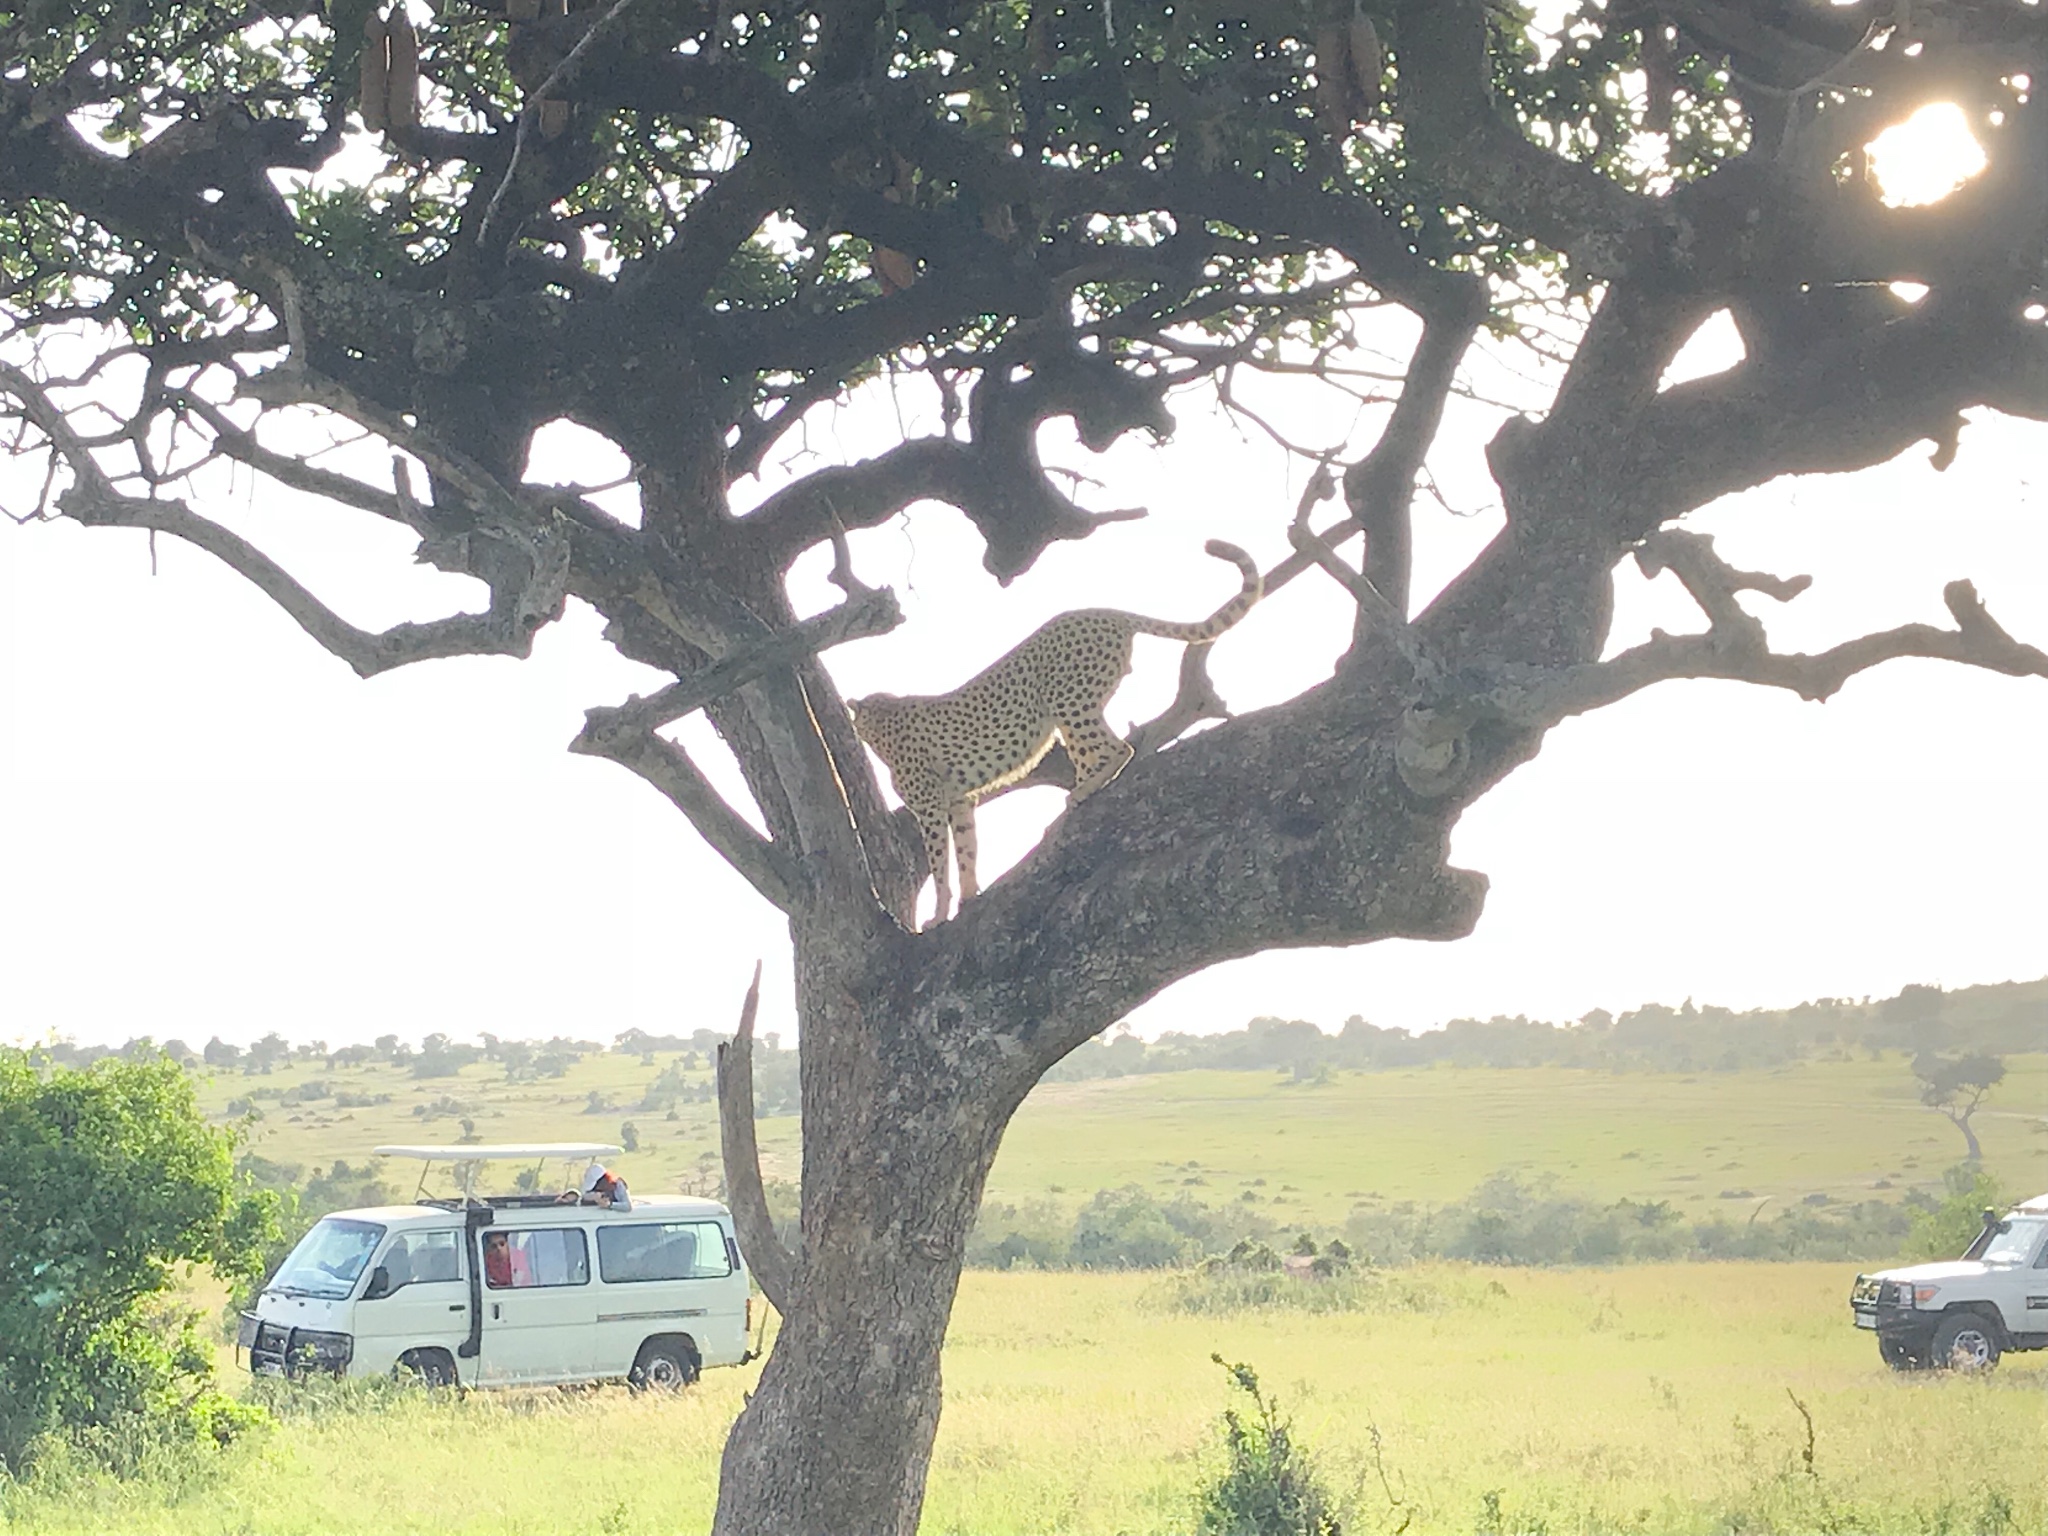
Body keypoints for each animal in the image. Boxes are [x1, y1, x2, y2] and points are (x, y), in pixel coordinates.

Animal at [847, 540, 1261, 925]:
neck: (883, 719)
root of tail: (1103, 611)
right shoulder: (959, 801)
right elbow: (966, 851)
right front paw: (968, 899)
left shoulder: (931, 807)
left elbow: (939, 866)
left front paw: (938, 915)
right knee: (1101, 751)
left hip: (1066, 700)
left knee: (1118, 749)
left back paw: (1081, 792)